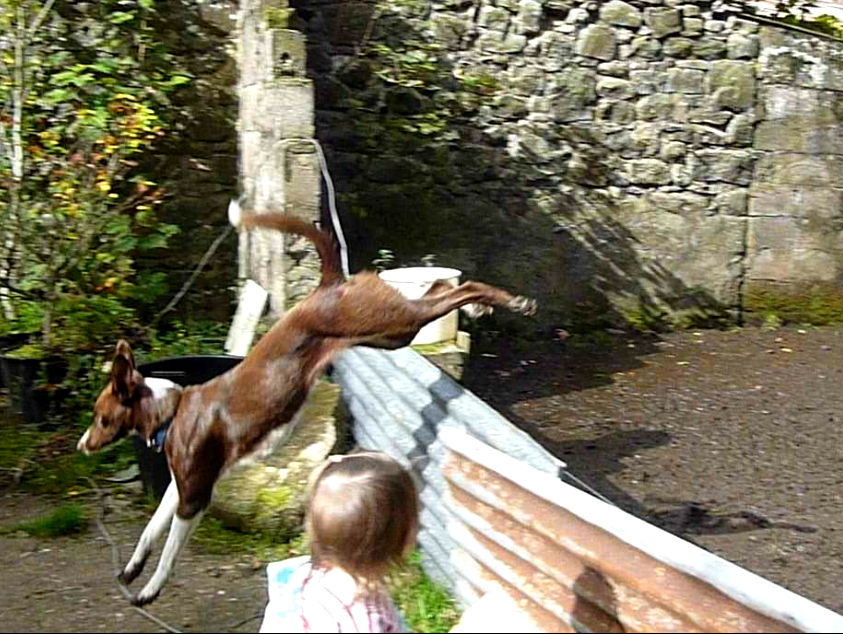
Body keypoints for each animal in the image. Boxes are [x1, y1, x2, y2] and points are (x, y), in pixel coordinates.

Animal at [77, 202, 537, 606]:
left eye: (101, 418)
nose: (81, 445)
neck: (171, 412)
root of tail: (327, 284)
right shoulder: (179, 486)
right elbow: (150, 531)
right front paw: (132, 568)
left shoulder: (195, 496)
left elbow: (169, 551)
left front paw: (149, 589)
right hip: (392, 331)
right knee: (441, 288)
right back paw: (479, 307)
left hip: (392, 322)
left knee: (459, 289)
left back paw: (511, 301)